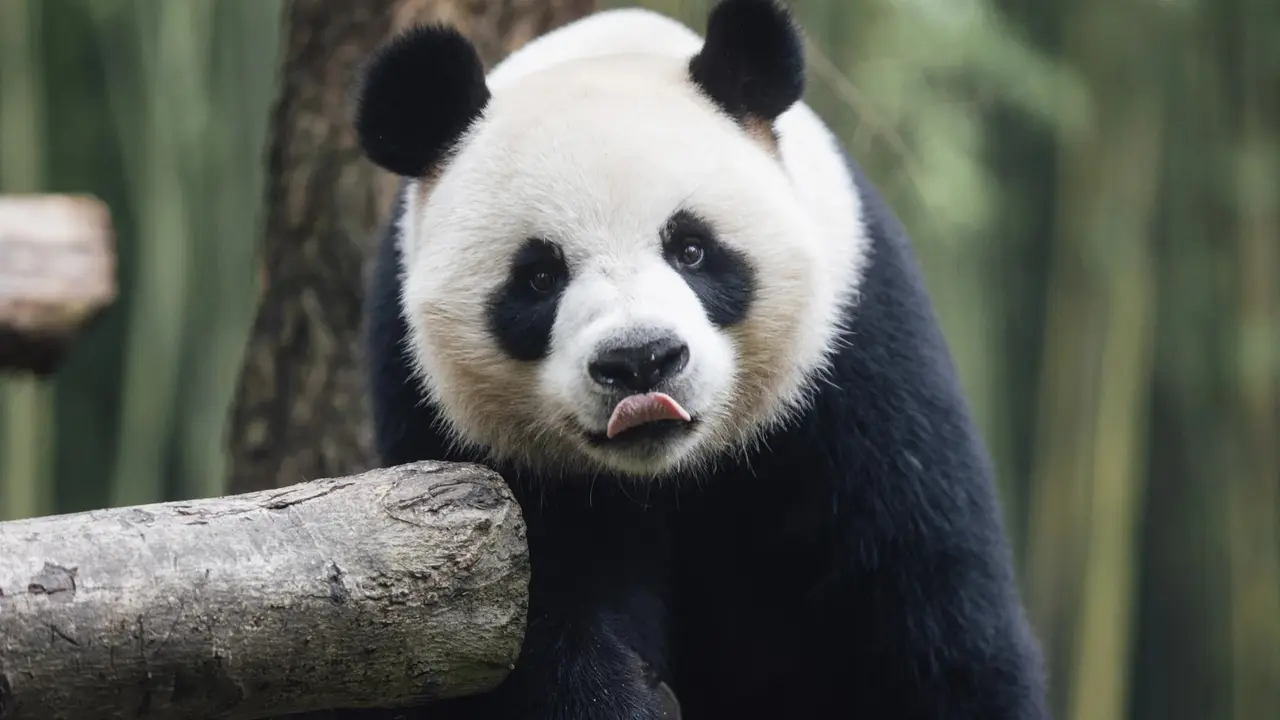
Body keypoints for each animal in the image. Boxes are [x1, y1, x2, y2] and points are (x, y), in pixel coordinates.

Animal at [355, 0, 1049, 718]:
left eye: (691, 248)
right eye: (539, 277)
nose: (640, 361)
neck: (668, 473)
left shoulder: (861, 367)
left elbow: (925, 614)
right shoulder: (445, 426)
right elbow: (516, 631)